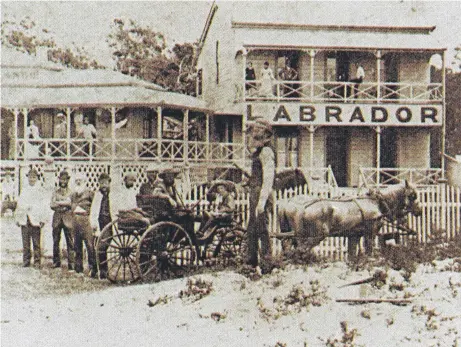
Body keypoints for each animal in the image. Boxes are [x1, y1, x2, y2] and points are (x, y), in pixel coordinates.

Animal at [274, 182, 422, 258]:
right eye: (413, 195)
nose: (419, 211)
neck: (376, 202)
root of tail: (289, 204)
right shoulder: (371, 231)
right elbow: (369, 249)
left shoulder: (354, 235)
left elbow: (352, 253)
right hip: (315, 235)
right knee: (300, 249)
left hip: (289, 232)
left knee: (288, 247)